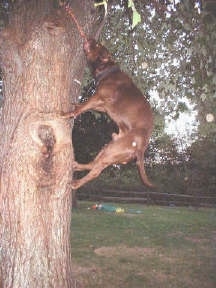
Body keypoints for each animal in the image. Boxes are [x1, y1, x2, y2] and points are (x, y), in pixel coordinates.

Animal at [63, 40, 154, 189]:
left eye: (97, 45)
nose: (90, 38)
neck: (108, 71)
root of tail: (141, 149)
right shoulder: (102, 106)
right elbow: (83, 106)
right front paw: (75, 105)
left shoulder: (98, 97)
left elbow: (83, 107)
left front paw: (68, 114)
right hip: (108, 147)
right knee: (93, 164)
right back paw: (77, 166)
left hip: (112, 150)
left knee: (96, 172)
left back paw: (76, 183)